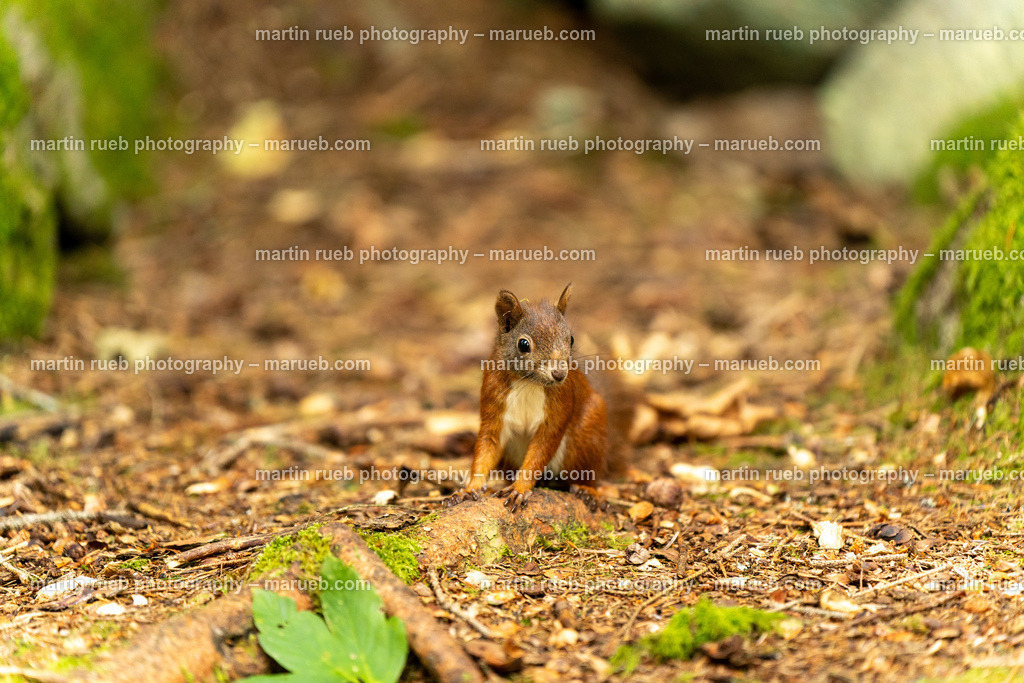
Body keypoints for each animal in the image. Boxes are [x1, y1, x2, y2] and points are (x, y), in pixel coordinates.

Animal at [446, 283, 626, 512]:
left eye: (571, 339)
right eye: (523, 344)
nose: (559, 374)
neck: (529, 383)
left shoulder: (558, 408)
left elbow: (539, 452)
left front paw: (520, 489)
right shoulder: (493, 404)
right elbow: (486, 449)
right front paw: (470, 489)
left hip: (588, 433)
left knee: (587, 474)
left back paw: (587, 490)